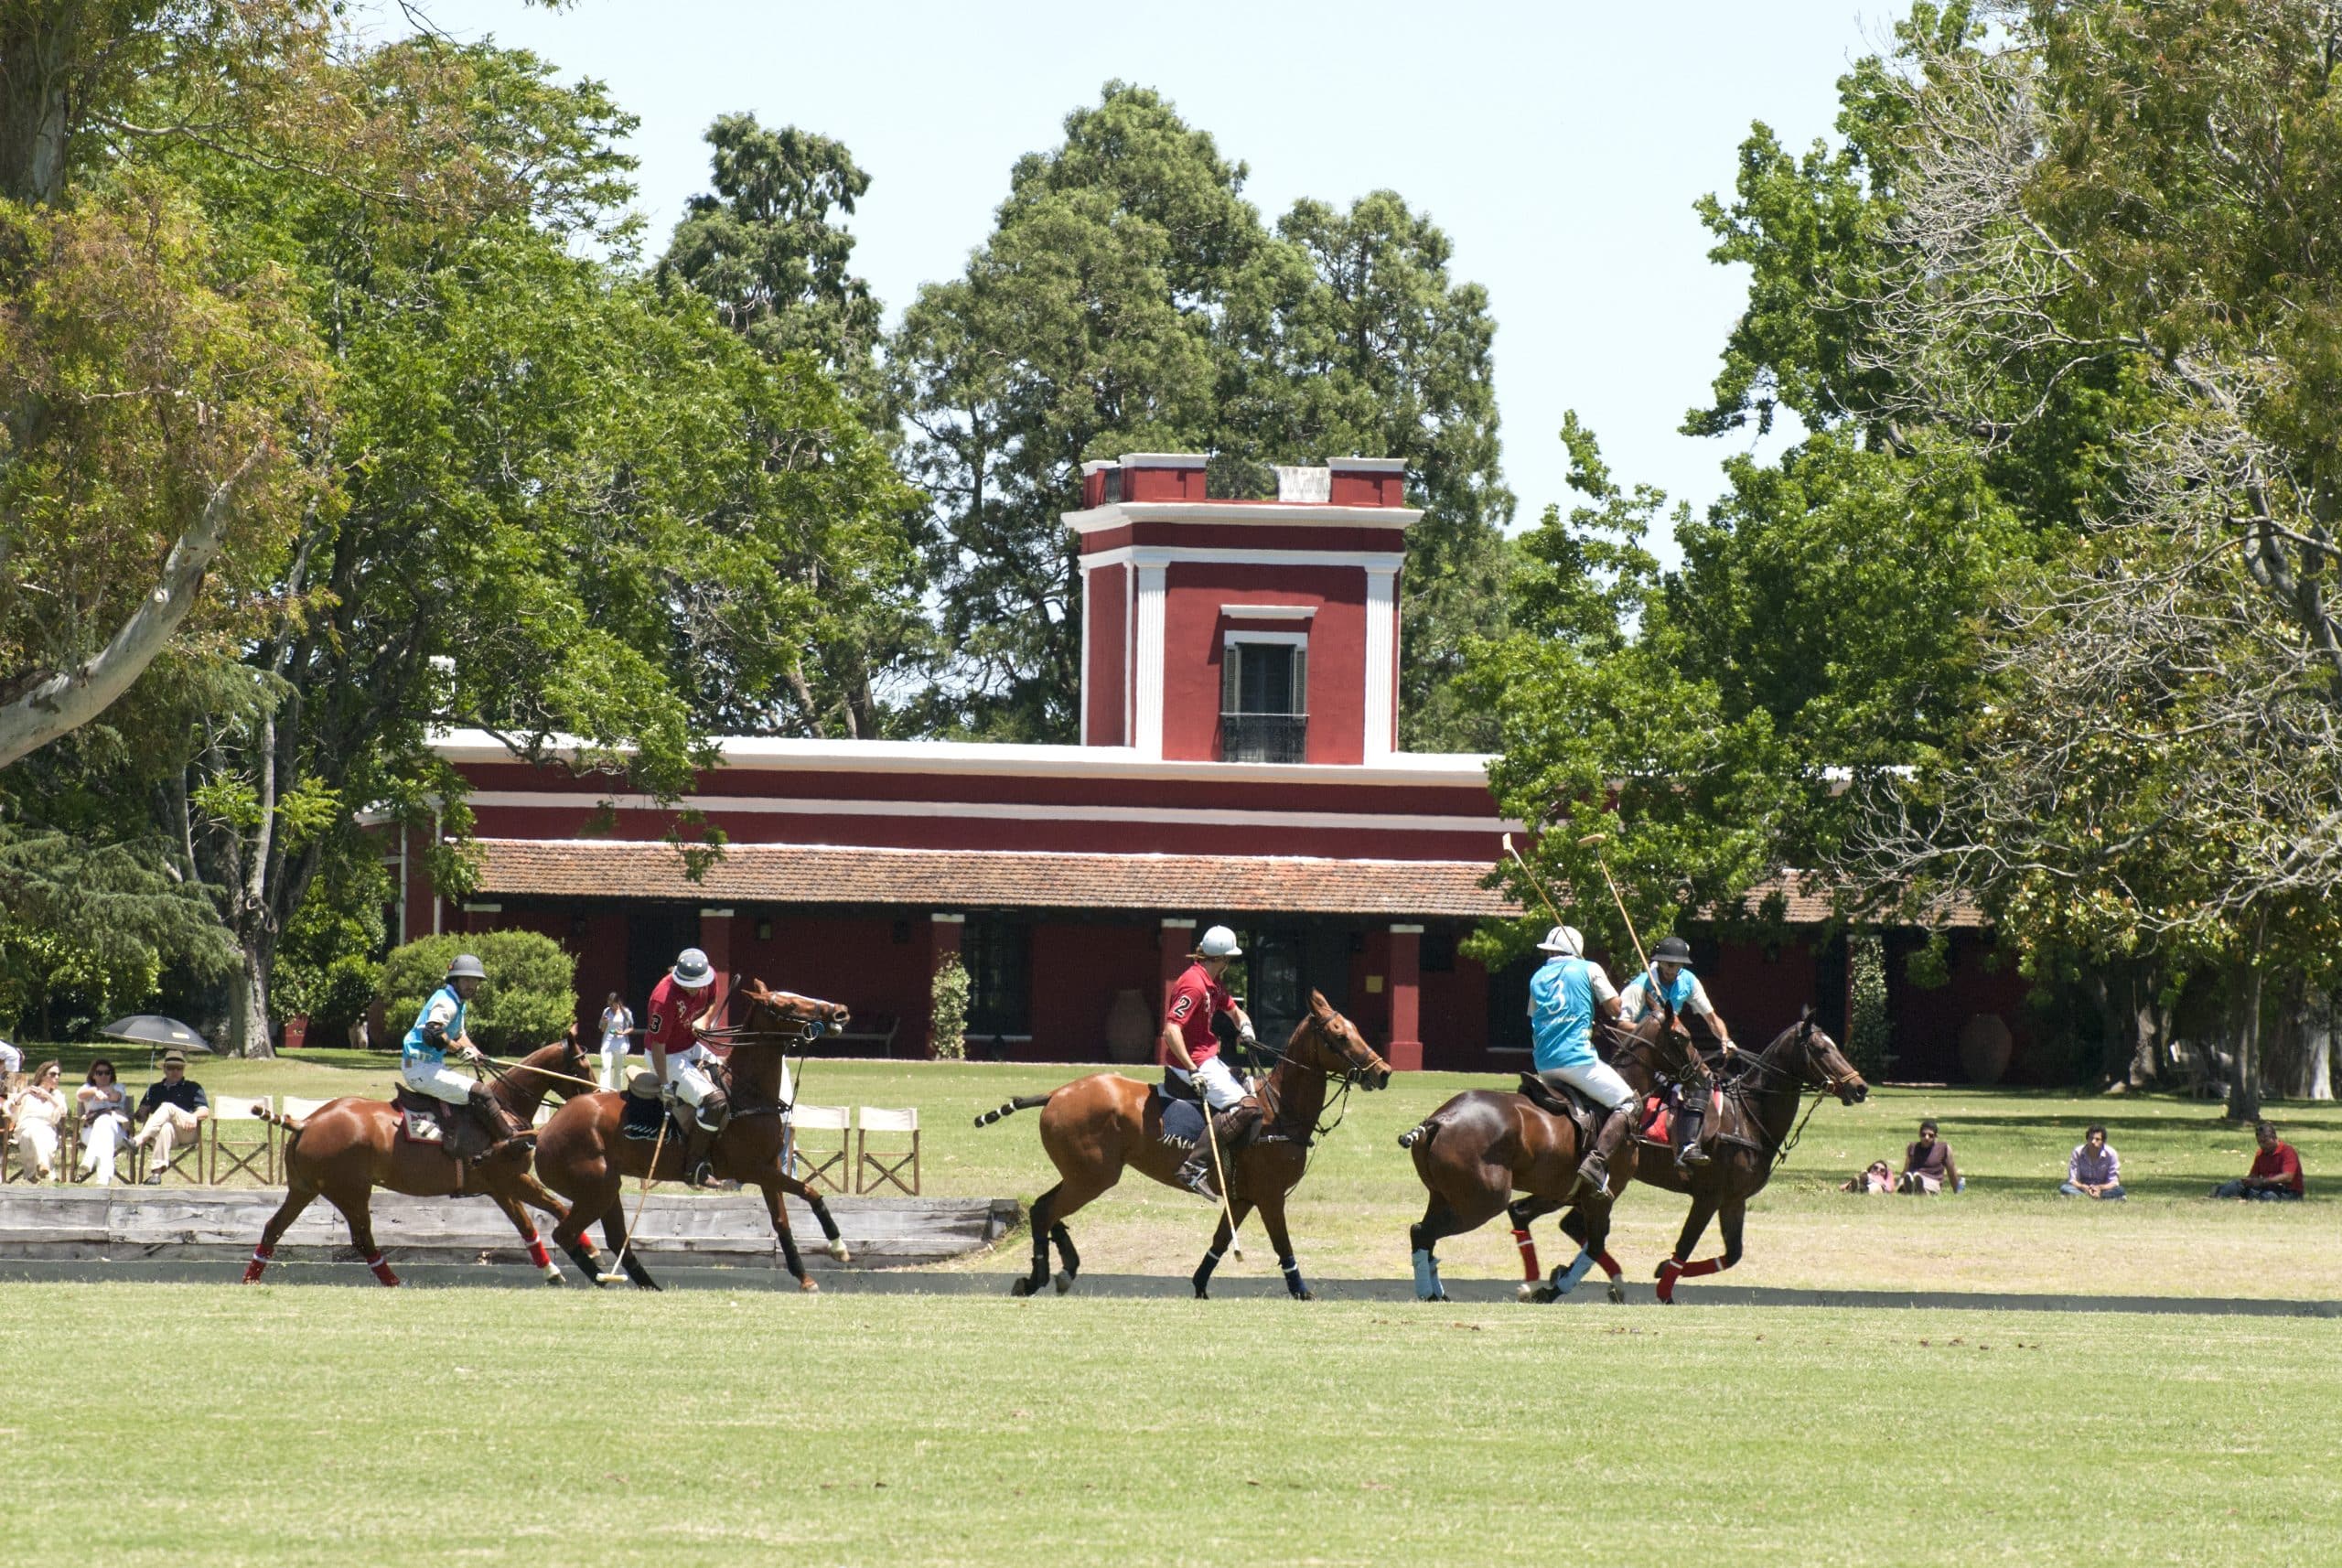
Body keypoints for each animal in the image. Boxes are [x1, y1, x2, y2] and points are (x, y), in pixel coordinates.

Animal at [242, 1029, 595, 1292]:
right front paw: (589, 1254)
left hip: (305, 1188)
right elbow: (555, 1207)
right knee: (361, 1238)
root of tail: (306, 1123)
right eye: (582, 1065)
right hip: (350, 1190)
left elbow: (529, 1224)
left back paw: (250, 1279)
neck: (506, 1109)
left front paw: (555, 1269)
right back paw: (394, 1281)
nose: (594, 1095)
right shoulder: (510, 1178)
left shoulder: (500, 1186)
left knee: (274, 1227)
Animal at [536, 983, 856, 1301]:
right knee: (565, 1233)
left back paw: (647, 1284)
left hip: (607, 1186)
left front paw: (806, 1276)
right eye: (788, 1006)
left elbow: (783, 1221)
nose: (840, 1011)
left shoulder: (771, 1164)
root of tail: (545, 1131)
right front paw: (838, 1247)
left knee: (615, 1238)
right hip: (594, 1188)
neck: (746, 1092)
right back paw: (601, 1279)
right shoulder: (750, 1169)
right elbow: (811, 1192)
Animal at [973, 996, 1386, 1301]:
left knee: (1044, 1208)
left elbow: (1221, 1240)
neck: (1279, 1109)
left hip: (1081, 1172)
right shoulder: (1270, 1196)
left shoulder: (1242, 1196)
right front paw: (1301, 1291)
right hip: (1094, 1176)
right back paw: (1040, 1277)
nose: (1383, 1073)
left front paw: (1200, 1285)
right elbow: (1282, 1243)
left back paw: (1056, 1271)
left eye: (1355, 1029)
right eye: (1339, 1035)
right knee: (1046, 1210)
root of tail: (1056, 1093)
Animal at [1386, 1015, 1704, 1310]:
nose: (1703, 1073)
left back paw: (1437, 1291)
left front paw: (1543, 1280)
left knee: (1426, 1235)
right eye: (1683, 1036)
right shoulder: (1600, 1197)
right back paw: (1428, 1292)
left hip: (1443, 1195)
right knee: (1421, 1232)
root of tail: (1439, 1119)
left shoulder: (1559, 1194)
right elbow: (1595, 1244)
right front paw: (1552, 1289)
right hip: (1482, 1201)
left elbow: (1525, 1216)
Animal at [1564, 1015, 1874, 1310]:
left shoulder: (1734, 1201)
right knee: (1576, 1225)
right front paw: (1664, 1288)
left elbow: (1733, 1254)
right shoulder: (1708, 1196)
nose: (1860, 1087)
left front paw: (1662, 1268)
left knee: (1573, 1226)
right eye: (1821, 1049)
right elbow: (1686, 1243)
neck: (1749, 1117)